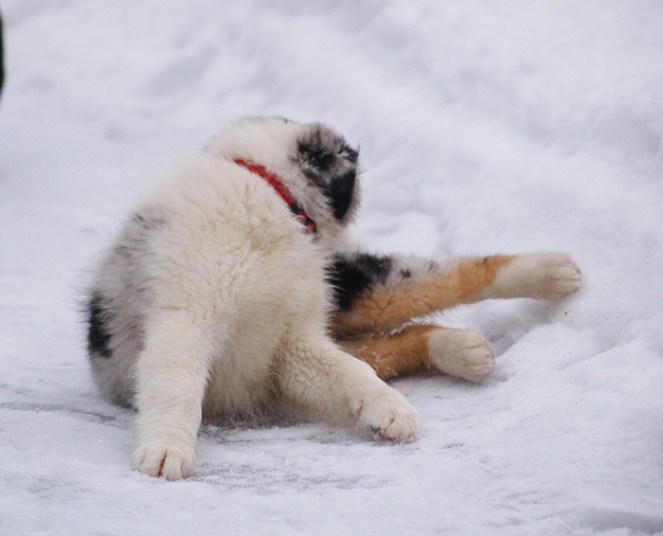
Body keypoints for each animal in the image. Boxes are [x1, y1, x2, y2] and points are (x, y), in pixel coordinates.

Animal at [86, 116, 581, 480]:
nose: (347, 244)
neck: (263, 192)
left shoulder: (294, 337)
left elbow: (353, 371)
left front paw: (391, 410)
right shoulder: (188, 317)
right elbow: (177, 385)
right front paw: (165, 451)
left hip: (351, 287)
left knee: (440, 280)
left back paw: (552, 272)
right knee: (386, 339)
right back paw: (463, 347)